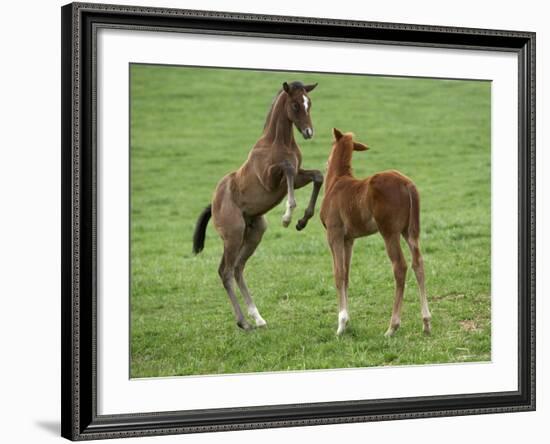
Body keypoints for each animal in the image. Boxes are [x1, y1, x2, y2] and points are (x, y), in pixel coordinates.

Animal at [193, 80, 324, 330]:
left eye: (309, 103)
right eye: (295, 105)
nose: (309, 133)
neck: (278, 142)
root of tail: (214, 203)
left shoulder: (297, 177)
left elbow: (318, 176)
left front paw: (302, 221)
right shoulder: (271, 179)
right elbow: (287, 167)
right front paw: (287, 215)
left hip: (254, 232)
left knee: (237, 268)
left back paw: (258, 317)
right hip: (233, 235)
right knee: (225, 271)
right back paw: (244, 322)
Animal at [322, 128, 434, 336]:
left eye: (331, 145)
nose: (326, 162)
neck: (336, 182)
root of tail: (407, 184)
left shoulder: (334, 235)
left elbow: (338, 274)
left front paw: (341, 324)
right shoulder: (349, 239)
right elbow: (347, 275)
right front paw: (347, 322)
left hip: (389, 232)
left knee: (400, 267)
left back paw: (392, 327)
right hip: (409, 232)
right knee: (418, 263)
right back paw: (426, 322)